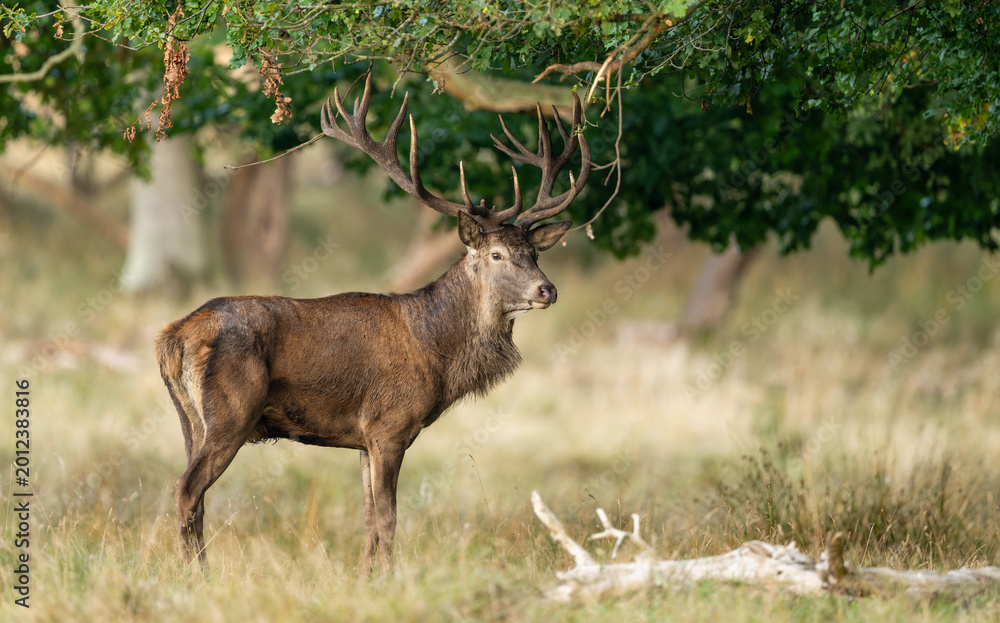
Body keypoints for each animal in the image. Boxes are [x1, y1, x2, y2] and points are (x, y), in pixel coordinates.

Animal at [154, 74, 591, 573]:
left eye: (534, 252)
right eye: (497, 254)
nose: (547, 290)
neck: (437, 352)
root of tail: (172, 337)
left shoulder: (362, 438)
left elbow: (366, 520)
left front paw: (365, 577)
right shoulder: (390, 424)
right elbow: (388, 518)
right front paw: (389, 578)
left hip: (190, 418)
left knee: (195, 495)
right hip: (232, 412)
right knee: (187, 490)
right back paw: (199, 576)